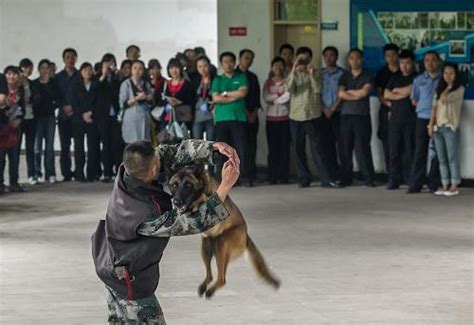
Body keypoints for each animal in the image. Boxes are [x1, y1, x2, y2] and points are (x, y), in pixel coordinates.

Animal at [168, 163, 282, 298]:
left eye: (188, 186)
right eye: (174, 185)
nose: (176, 202)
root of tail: (246, 236)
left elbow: (205, 199)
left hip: (221, 244)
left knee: (222, 279)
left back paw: (211, 291)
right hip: (206, 246)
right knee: (210, 276)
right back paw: (205, 287)